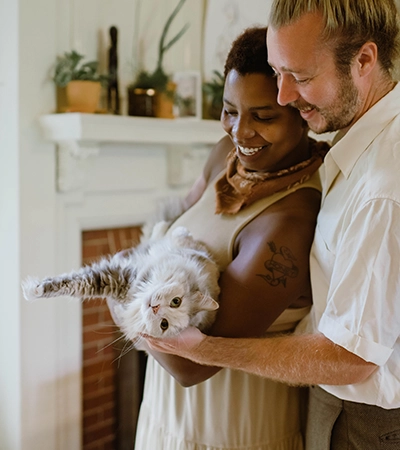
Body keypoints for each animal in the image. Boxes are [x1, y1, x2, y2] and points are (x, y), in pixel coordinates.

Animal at [22, 225, 220, 342]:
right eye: (176, 301)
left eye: (164, 325)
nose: (155, 308)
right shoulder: (122, 275)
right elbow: (67, 282)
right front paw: (33, 289)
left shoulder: (114, 283)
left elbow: (73, 284)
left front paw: (30, 290)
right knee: (158, 237)